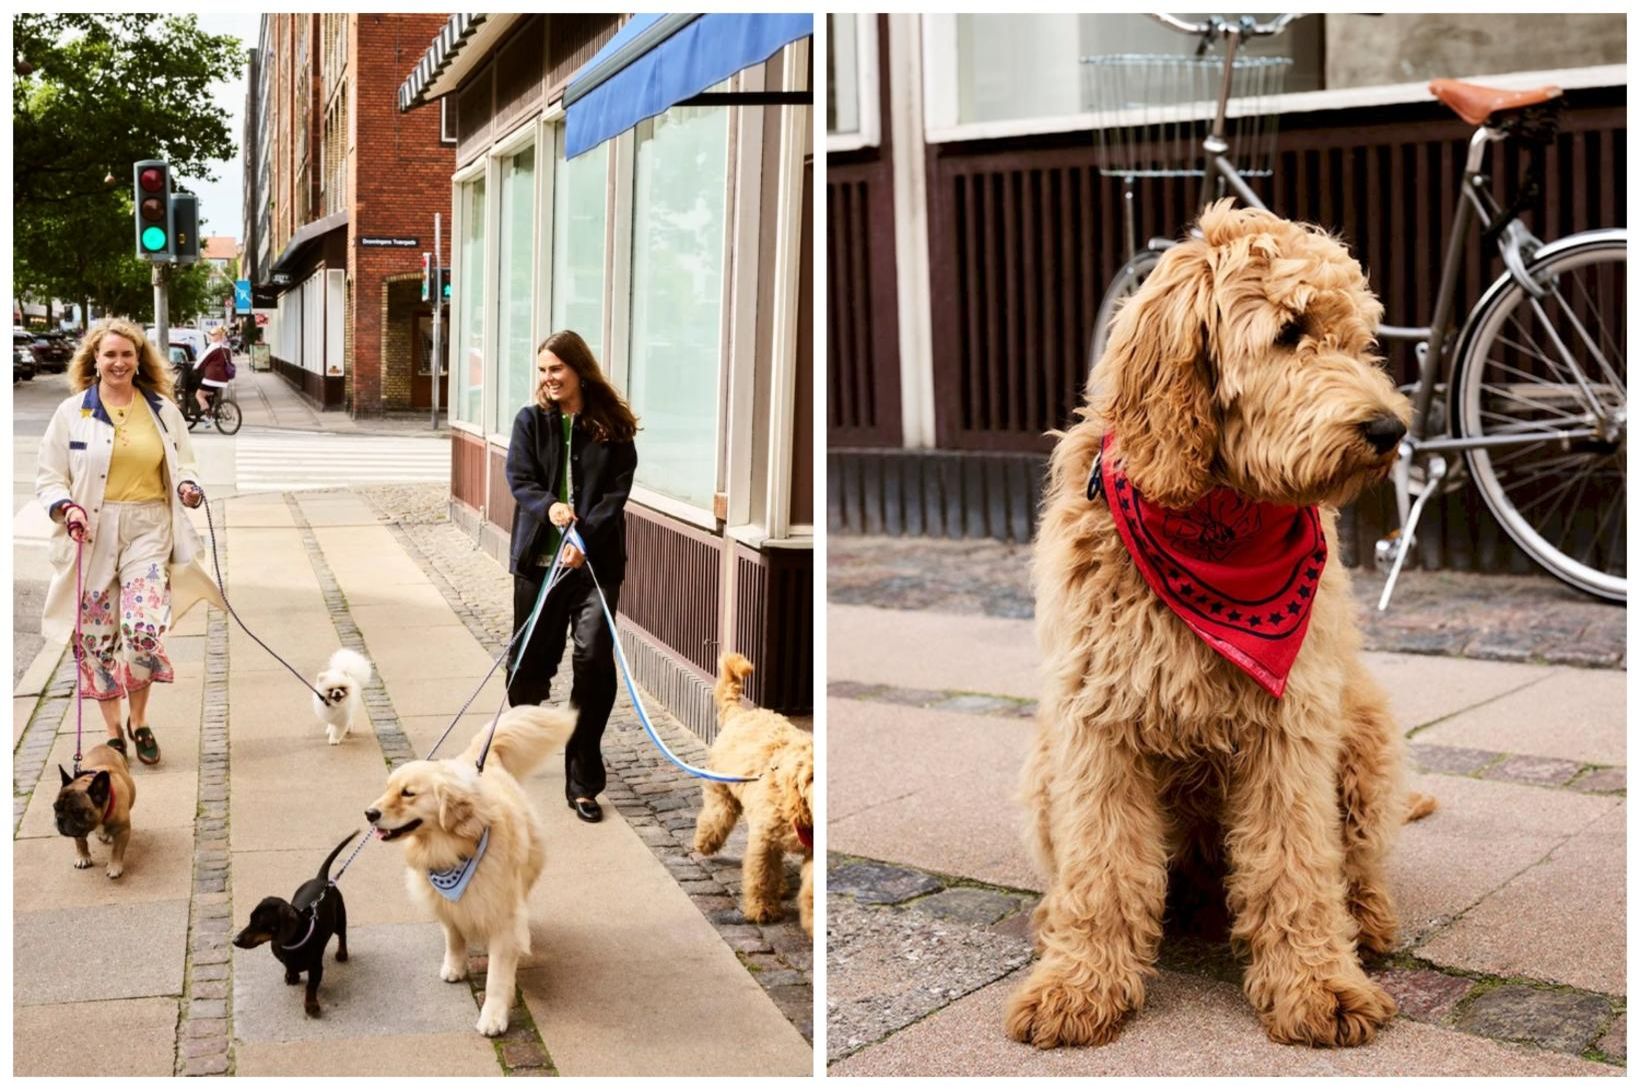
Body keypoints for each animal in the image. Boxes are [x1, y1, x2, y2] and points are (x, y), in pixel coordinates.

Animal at [365, 701, 577, 1035]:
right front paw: (455, 966)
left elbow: (497, 977)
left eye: (408, 793)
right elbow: (454, 936)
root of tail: (480, 757)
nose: (369, 813)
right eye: (387, 789)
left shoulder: (503, 918)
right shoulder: (447, 904)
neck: (453, 849)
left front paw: (493, 1016)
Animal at [695, 655, 816, 937]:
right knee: (715, 818)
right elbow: (760, 875)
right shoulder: (764, 838)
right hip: (722, 794)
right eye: (811, 777)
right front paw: (763, 909)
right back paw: (704, 843)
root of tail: (740, 714)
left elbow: (811, 890)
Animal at [1010, 201, 1423, 1049]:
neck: (1215, 521)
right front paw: (1079, 983)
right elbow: (1102, 865)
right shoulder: (1095, 726)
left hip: (1363, 734)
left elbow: (1296, 863)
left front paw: (1317, 985)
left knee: (1356, 863)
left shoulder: (1289, 728)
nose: (1389, 429)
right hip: (1042, 766)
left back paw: (1365, 922)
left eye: (1359, 341)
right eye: (1291, 331)